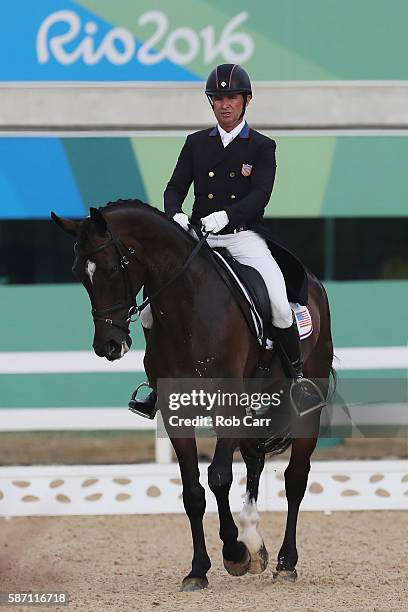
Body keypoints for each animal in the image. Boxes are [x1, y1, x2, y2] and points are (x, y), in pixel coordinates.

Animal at [51, 201, 334, 592]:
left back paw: (285, 562)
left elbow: (218, 477)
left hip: (306, 407)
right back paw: (255, 541)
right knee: (255, 460)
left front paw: (234, 554)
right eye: (79, 272)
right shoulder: (175, 412)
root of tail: (314, 284)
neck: (188, 307)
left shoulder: (228, 406)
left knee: (295, 478)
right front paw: (199, 569)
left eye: (109, 269)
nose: (108, 346)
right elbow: (192, 491)